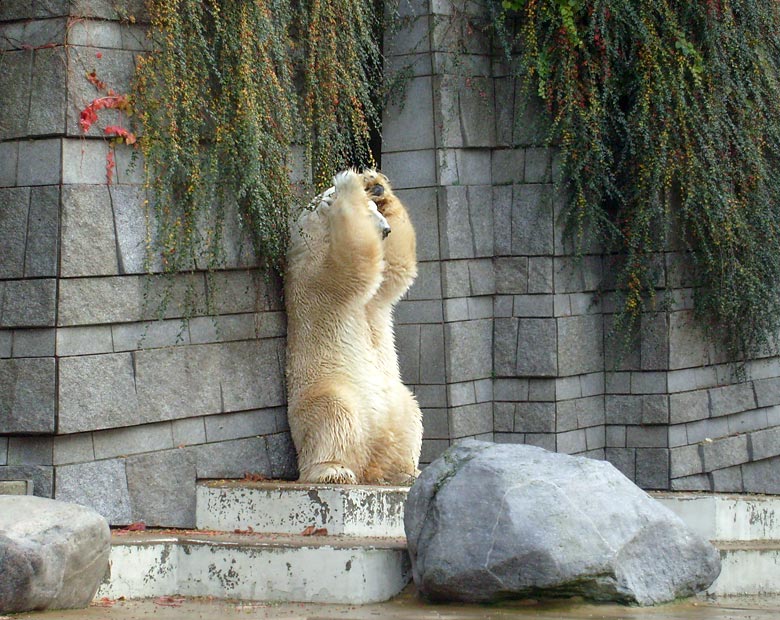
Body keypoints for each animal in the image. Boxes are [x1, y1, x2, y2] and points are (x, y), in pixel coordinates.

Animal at [284, 168, 420, 484]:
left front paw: (376, 184)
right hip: (326, 390)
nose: (385, 230)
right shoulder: (314, 273)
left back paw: (405, 470)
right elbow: (354, 264)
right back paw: (334, 471)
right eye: (369, 213)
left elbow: (394, 269)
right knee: (334, 418)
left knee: (412, 419)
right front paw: (347, 184)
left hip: (399, 405)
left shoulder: (374, 297)